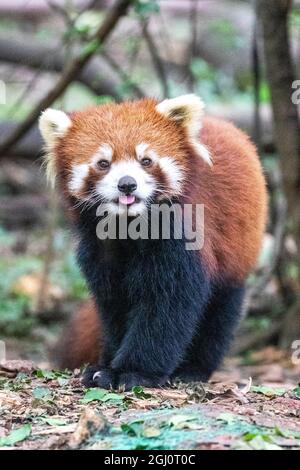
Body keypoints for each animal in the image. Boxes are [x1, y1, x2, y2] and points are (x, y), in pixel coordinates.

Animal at [39, 94, 268, 390]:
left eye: (146, 160)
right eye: (103, 163)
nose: (127, 184)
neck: (129, 228)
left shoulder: (182, 241)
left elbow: (165, 308)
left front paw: (134, 372)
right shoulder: (100, 250)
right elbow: (114, 305)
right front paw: (105, 367)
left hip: (237, 254)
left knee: (220, 312)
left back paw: (192, 369)